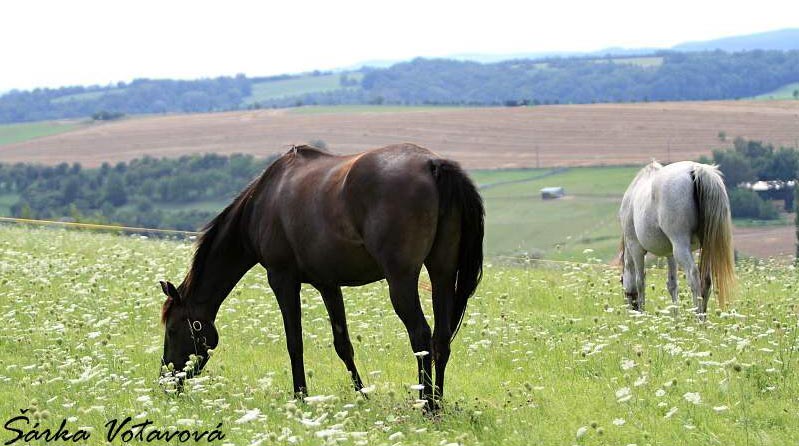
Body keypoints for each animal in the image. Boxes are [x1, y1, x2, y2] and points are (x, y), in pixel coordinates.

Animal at [159, 145, 484, 410]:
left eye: (173, 330)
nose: (165, 382)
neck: (263, 201)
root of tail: (433, 164)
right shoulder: (328, 284)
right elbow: (343, 345)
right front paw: (362, 395)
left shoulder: (282, 280)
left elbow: (294, 343)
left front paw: (301, 396)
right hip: (442, 273)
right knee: (441, 338)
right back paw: (438, 402)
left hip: (401, 281)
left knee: (421, 336)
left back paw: (426, 404)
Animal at [620, 160, 736, 314]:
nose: (633, 310)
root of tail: (696, 170)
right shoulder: (670, 253)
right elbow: (672, 284)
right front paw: (675, 316)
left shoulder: (636, 248)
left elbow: (640, 281)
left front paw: (643, 313)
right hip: (705, 246)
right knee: (706, 280)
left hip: (680, 247)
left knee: (694, 276)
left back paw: (698, 315)